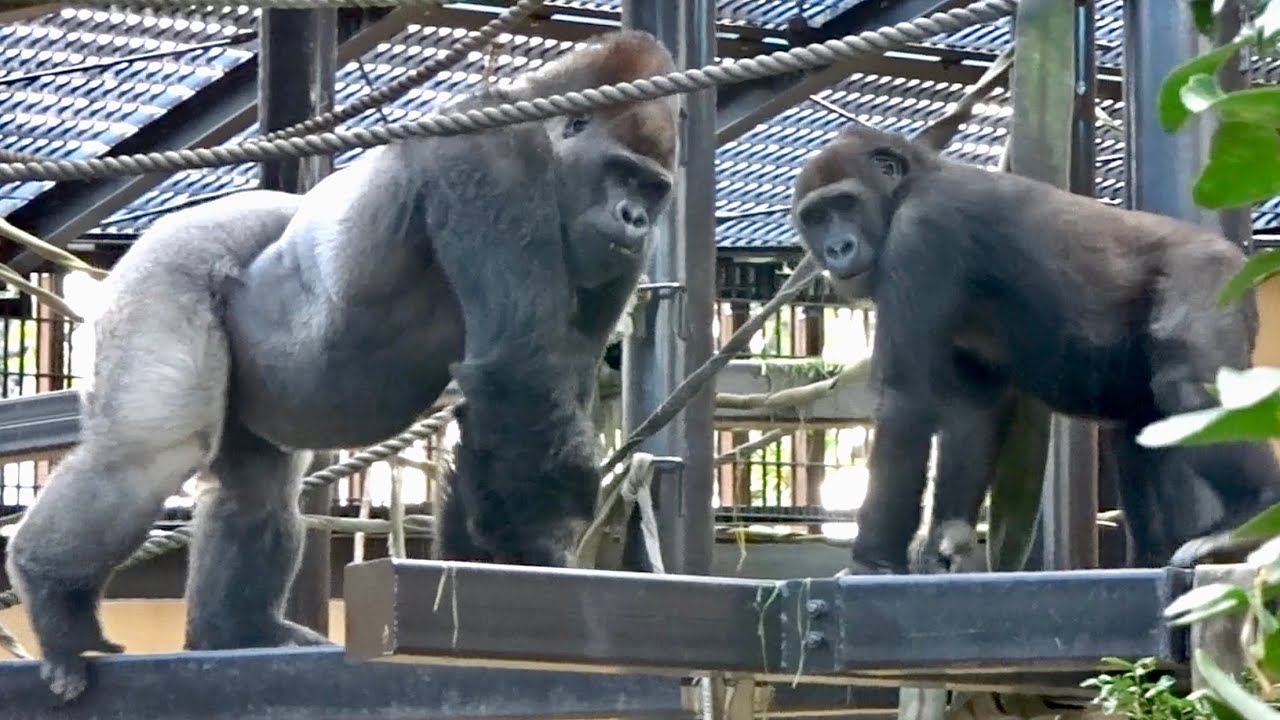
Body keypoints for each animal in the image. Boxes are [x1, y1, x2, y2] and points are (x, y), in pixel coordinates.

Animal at [4, 29, 678, 703]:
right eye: (621, 173)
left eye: (653, 190)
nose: (636, 218)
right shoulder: (489, 153)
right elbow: (519, 369)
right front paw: (542, 560)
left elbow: (534, 389)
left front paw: (502, 559)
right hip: (168, 263)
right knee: (149, 452)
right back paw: (55, 600)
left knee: (255, 487)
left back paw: (236, 631)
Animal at [789, 124, 1280, 577]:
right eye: (816, 217)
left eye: (845, 205)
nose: (837, 248)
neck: (910, 185)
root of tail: (1236, 253)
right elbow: (973, 410)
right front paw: (944, 544)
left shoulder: (921, 233)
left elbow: (904, 402)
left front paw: (871, 563)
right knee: (1137, 426)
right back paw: (1154, 555)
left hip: (1211, 275)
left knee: (1187, 388)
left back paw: (1253, 513)